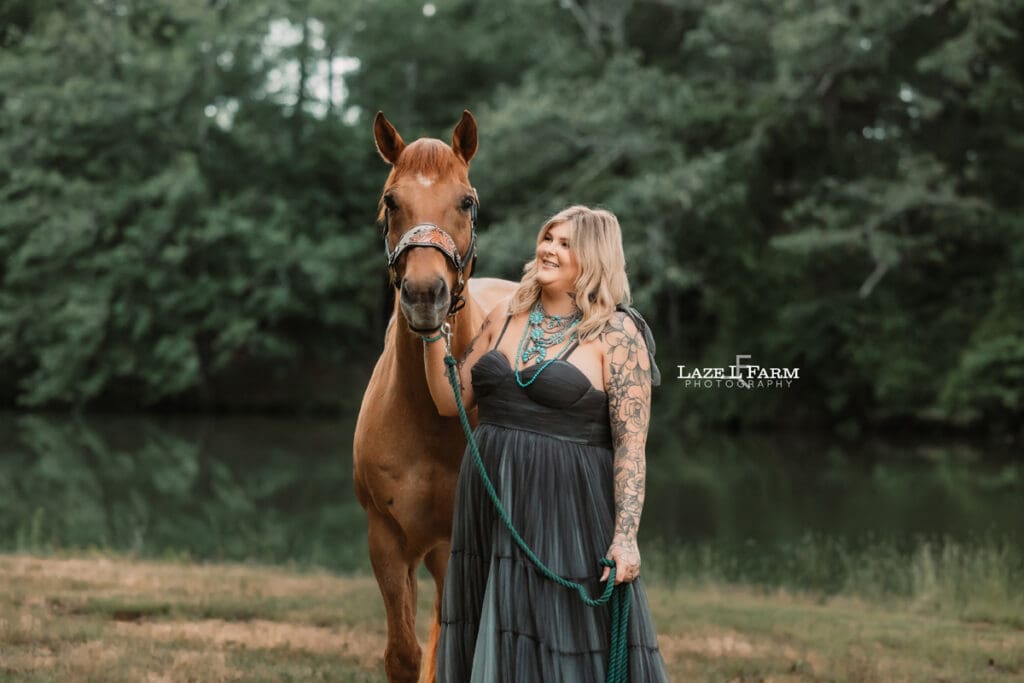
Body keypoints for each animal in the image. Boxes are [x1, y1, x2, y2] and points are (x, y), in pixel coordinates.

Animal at [353, 110, 517, 682]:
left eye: (467, 201)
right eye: (390, 201)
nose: (426, 295)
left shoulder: (459, 546)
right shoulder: (387, 541)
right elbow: (404, 655)